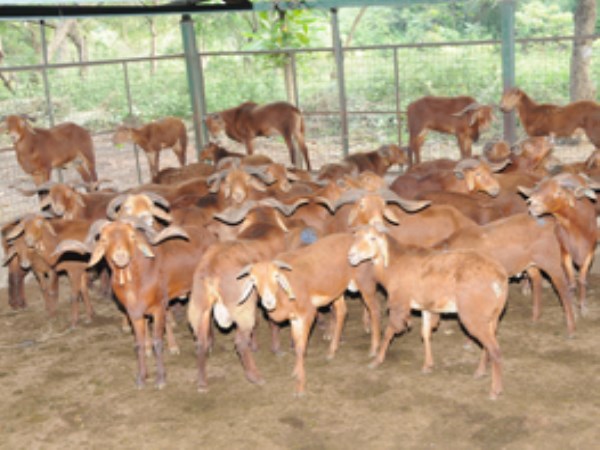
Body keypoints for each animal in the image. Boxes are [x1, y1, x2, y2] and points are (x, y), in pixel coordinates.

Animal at [346, 227, 506, 400]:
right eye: (356, 236)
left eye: (373, 238)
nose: (351, 255)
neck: (394, 264)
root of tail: (500, 277)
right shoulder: (427, 307)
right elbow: (425, 333)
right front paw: (428, 366)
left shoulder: (399, 303)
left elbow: (389, 331)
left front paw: (377, 361)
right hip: (492, 316)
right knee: (488, 345)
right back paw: (480, 372)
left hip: (474, 316)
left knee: (495, 349)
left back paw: (495, 391)